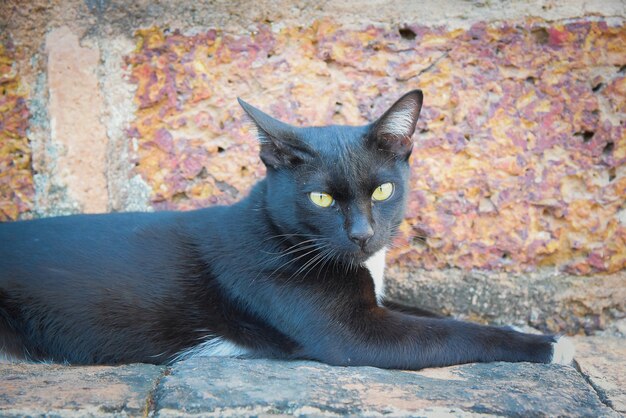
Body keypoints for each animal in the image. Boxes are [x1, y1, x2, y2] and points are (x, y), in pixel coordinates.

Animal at [0, 90, 572, 368]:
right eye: (320, 198)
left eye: (382, 191)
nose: (362, 235)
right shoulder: (354, 335)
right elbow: (454, 332)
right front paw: (547, 345)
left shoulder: (377, 301)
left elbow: (439, 314)